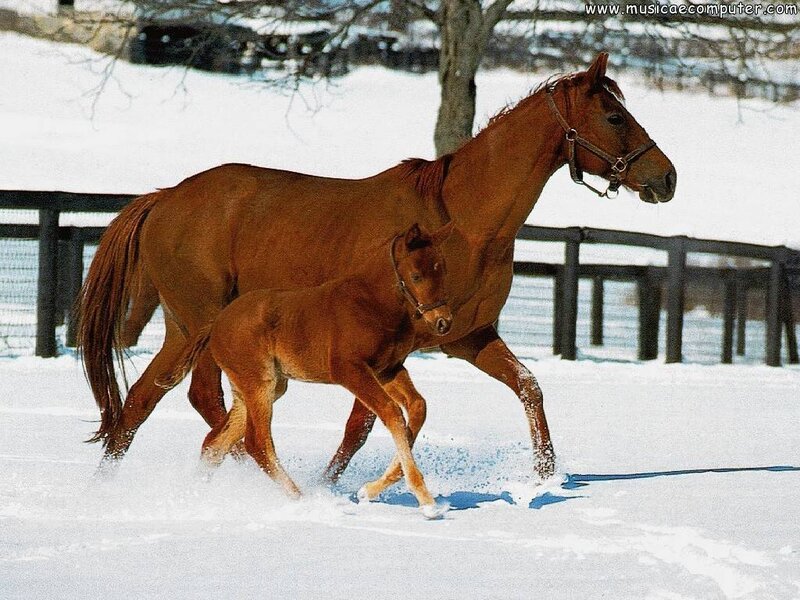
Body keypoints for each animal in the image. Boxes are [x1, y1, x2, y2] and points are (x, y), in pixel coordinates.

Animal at [78, 52, 676, 481]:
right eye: (614, 115)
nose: (667, 177)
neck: (460, 224)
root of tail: (165, 197)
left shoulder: (468, 337)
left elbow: (528, 388)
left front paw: (547, 478)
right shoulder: (380, 349)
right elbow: (364, 423)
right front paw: (330, 484)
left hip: (185, 329)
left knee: (144, 402)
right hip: (202, 326)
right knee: (199, 401)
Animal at [155, 223, 454, 517]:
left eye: (443, 270)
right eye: (416, 276)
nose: (443, 322)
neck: (371, 304)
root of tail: (217, 321)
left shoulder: (387, 369)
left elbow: (417, 407)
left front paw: (368, 490)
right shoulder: (350, 370)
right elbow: (392, 414)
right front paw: (427, 502)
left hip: (262, 387)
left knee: (215, 443)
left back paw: (194, 494)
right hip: (259, 383)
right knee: (257, 442)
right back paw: (303, 500)